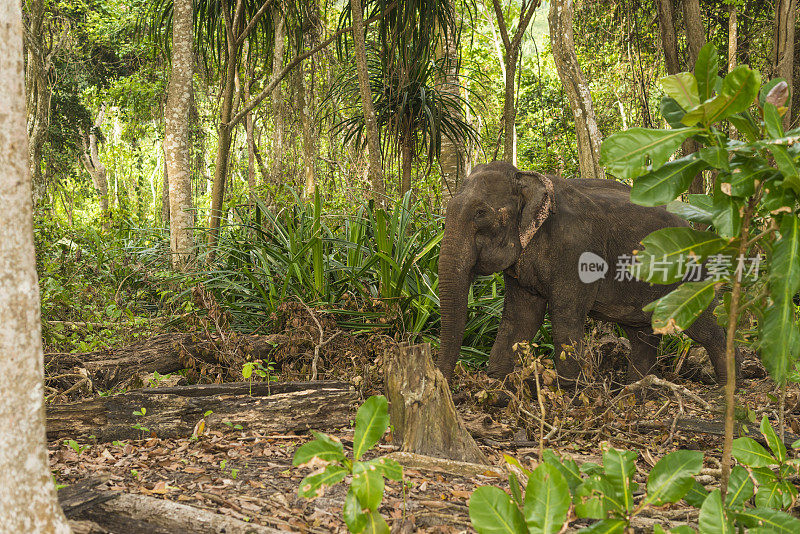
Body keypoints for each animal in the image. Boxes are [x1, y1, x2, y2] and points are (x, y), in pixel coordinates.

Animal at [434, 161, 736, 388]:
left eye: (481, 213)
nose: (445, 385)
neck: (526, 177)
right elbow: (520, 317)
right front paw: (497, 386)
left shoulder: (577, 249)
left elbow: (565, 315)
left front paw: (571, 390)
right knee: (642, 335)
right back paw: (636, 390)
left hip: (690, 277)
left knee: (704, 328)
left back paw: (726, 388)